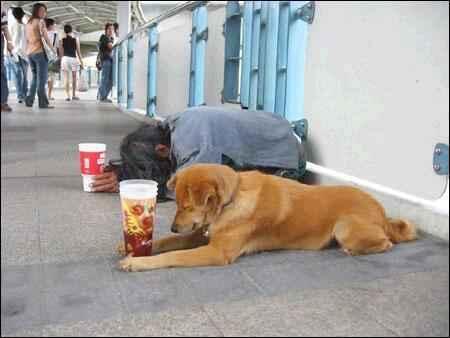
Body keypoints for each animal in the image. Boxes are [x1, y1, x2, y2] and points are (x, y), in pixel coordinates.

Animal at [118, 164, 416, 272]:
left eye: (187, 206)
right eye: (177, 204)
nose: (172, 225)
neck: (232, 200)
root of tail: (382, 213)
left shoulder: (216, 252)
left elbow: (174, 255)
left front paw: (138, 262)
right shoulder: (201, 234)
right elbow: (168, 243)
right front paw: (134, 247)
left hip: (345, 227)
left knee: (386, 243)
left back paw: (354, 250)